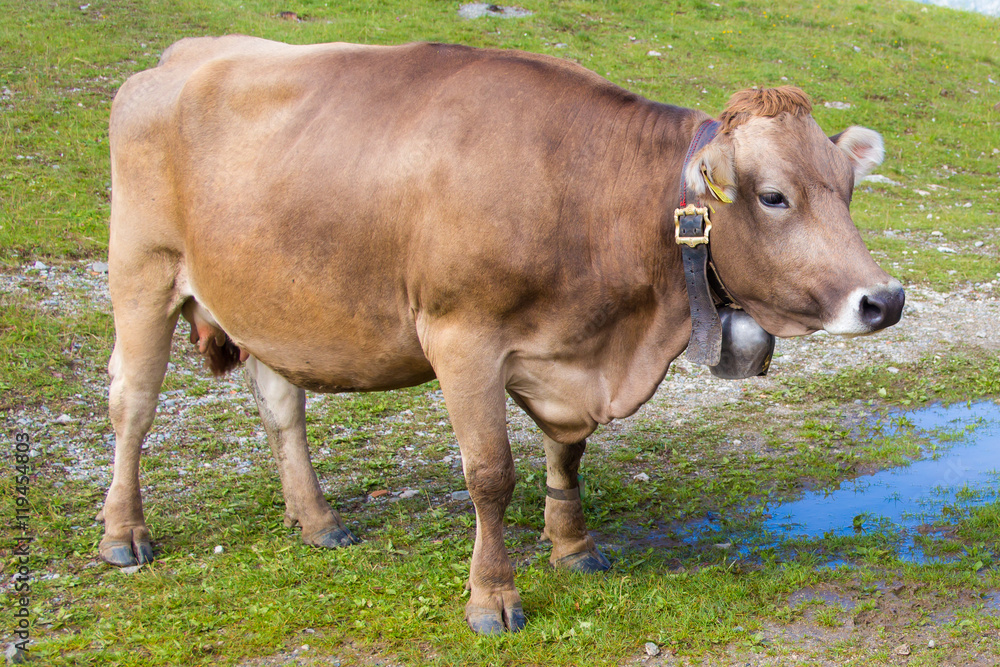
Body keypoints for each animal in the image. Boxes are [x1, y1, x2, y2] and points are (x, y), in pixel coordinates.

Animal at [103, 34, 908, 636]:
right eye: (773, 196)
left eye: (846, 187)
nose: (886, 299)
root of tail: (180, 56)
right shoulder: (461, 336)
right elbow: (490, 474)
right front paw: (492, 596)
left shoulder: (566, 356)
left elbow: (569, 452)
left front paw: (573, 546)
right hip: (141, 271)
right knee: (132, 405)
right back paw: (123, 533)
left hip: (268, 302)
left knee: (280, 407)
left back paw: (317, 519)